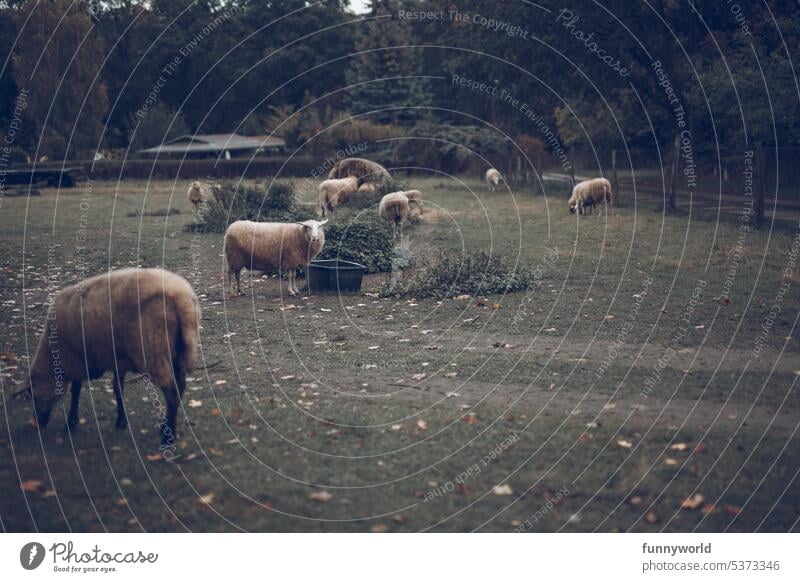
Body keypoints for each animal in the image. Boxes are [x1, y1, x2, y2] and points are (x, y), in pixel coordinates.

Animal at [25, 270, 202, 448]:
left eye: (32, 396)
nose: (36, 423)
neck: (52, 357)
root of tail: (181, 299)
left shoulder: (76, 359)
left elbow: (75, 390)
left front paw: (71, 422)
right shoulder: (117, 360)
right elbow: (118, 388)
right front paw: (121, 421)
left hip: (154, 351)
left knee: (172, 393)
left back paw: (167, 437)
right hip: (180, 350)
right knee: (180, 386)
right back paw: (166, 428)